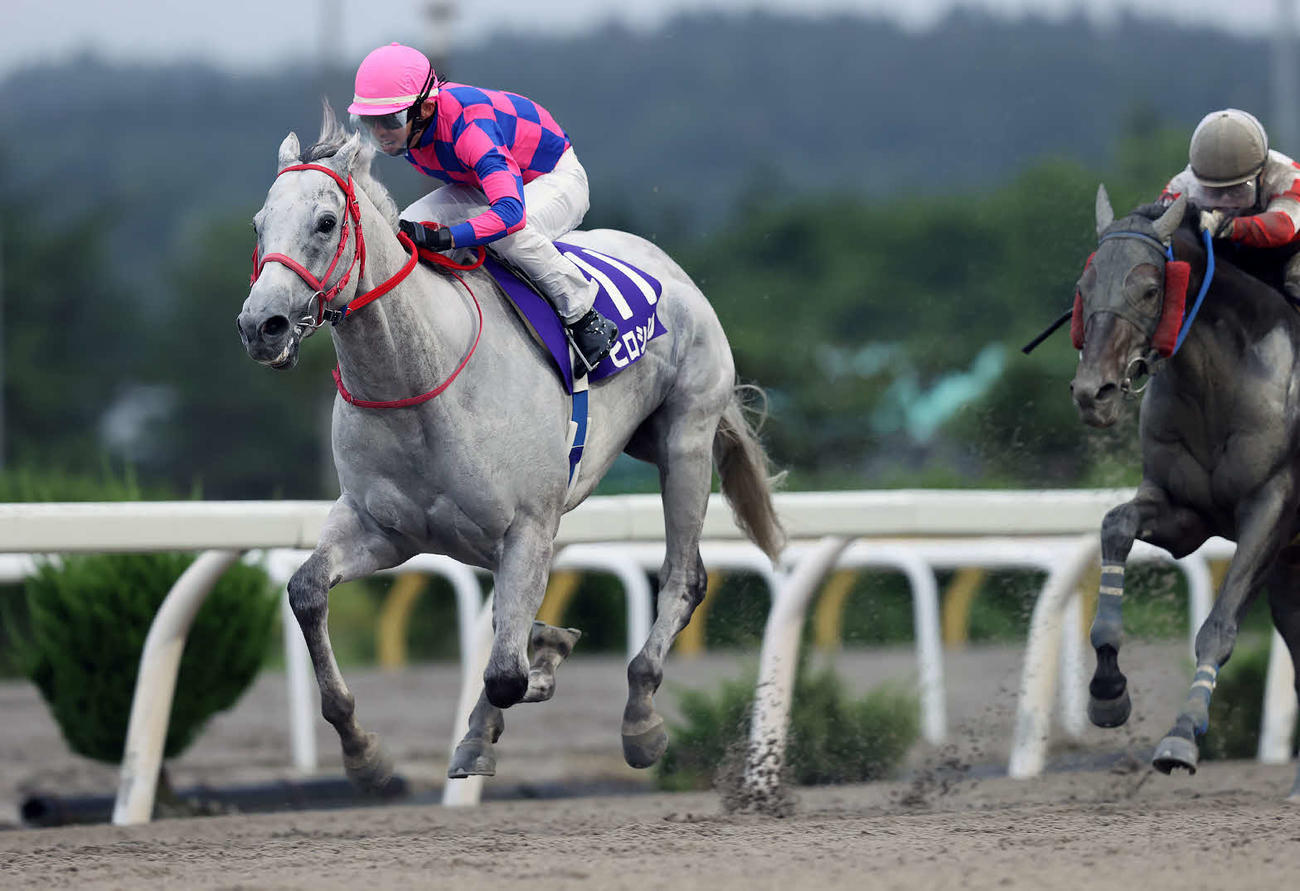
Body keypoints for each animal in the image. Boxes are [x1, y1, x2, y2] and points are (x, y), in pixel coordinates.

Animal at [237, 107, 786, 787]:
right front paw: (364, 754)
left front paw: (525, 683)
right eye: (258, 224)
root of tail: (670, 269)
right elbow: (307, 591)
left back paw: (640, 720)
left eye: (325, 222)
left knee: (684, 577)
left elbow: (507, 672)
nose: (260, 326)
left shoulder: (527, 524)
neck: (416, 380)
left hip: (687, 436)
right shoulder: (382, 527)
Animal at [1071, 185, 1300, 798]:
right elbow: (1116, 526)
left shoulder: (1272, 506)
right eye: (1084, 287)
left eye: (1151, 288)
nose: (1092, 393)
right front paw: (1108, 691)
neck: (1216, 384)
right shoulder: (1185, 513)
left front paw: (1181, 735)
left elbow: (1218, 626)